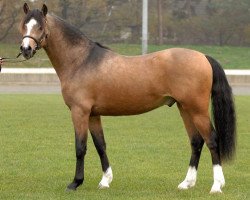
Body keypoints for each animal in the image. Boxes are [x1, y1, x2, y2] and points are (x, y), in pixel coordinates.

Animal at [18, 3, 235, 194]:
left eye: (40, 26)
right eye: (24, 24)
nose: (26, 49)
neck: (81, 61)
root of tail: (203, 56)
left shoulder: (79, 112)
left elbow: (81, 147)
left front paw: (75, 183)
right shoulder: (93, 115)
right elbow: (100, 145)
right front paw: (105, 181)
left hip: (197, 110)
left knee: (212, 140)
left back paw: (216, 186)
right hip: (185, 108)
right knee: (196, 141)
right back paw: (186, 183)